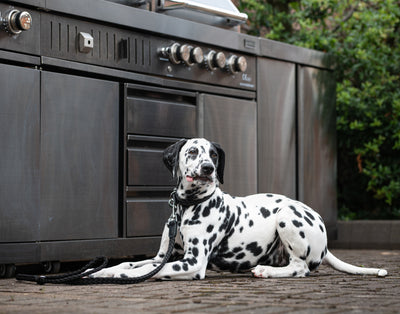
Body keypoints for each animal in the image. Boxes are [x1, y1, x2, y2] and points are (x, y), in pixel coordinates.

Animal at [90, 138, 388, 280]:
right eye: (193, 152)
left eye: (214, 154)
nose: (208, 169)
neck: (188, 206)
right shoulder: (162, 256)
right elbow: (130, 262)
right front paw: (101, 271)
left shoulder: (193, 262)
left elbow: (142, 271)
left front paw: (122, 275)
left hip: (286, 217)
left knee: (300, 268)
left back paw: (266, 272)